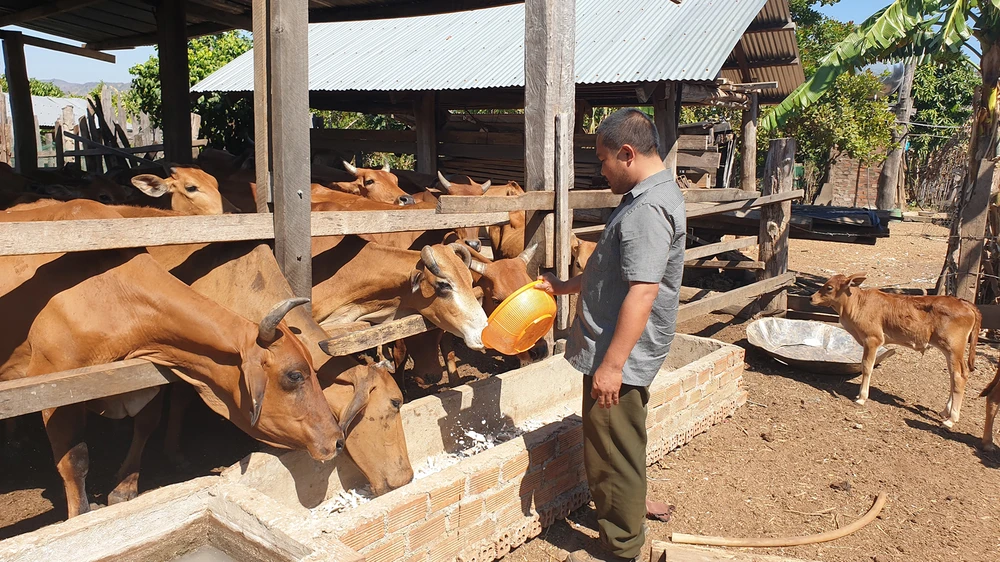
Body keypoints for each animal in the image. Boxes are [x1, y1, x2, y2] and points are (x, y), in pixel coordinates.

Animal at [0, 200, 344, 516]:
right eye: (294, 375)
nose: (337, 439)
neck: (113, 294)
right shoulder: (54, 388)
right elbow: (75, 462)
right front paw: (80, 516)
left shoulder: (145, 379)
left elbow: (146, 424)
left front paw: (124, 488)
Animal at [808, 272, 980, 424]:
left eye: (829, 287)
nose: (811, 298)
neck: (857, 304)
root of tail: (964, 303)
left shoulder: (873, 339)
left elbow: (867, 367)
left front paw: (861, 398)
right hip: (950, 352)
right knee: (954, 376)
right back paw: (945, 411)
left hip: (953, 349)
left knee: (959, 376)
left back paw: (951, 419)